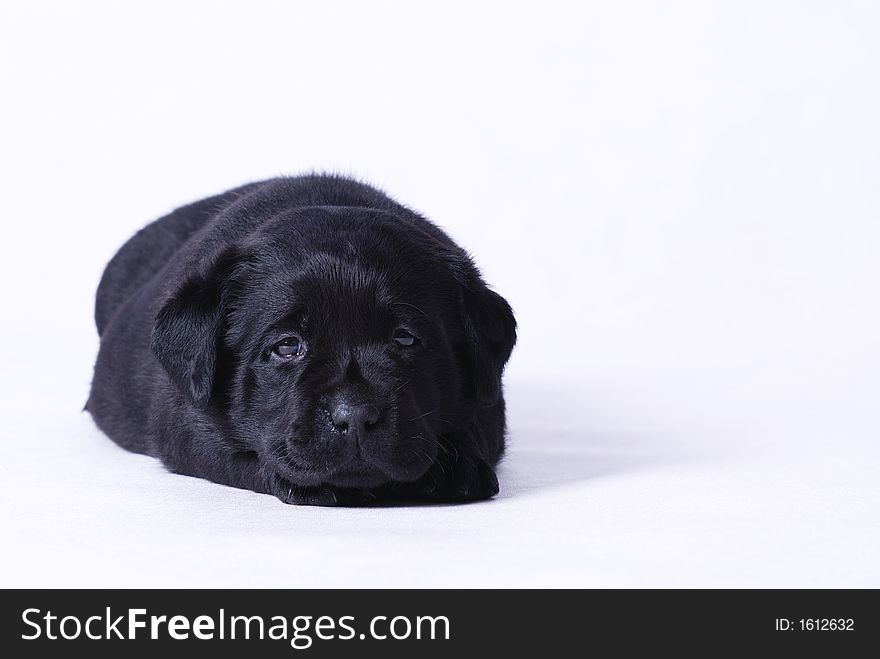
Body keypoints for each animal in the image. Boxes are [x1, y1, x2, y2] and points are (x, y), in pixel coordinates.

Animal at [87, 175, 516, 506]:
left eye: (405, 339)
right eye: (287, 346)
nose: (354, 416)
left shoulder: (490, 402)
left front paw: (457, 468)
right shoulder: (185, 420)